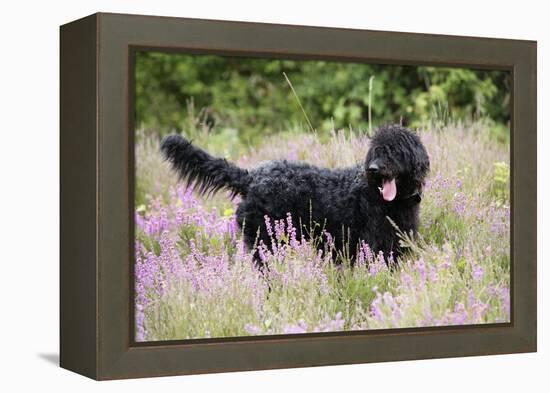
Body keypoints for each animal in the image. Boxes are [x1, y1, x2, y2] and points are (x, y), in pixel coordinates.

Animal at [162, 125, 434, 264]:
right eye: (375, 150)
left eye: (394, 151)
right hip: (266, 243)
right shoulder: (373, 247)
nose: (374, 169)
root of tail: (251, 177)